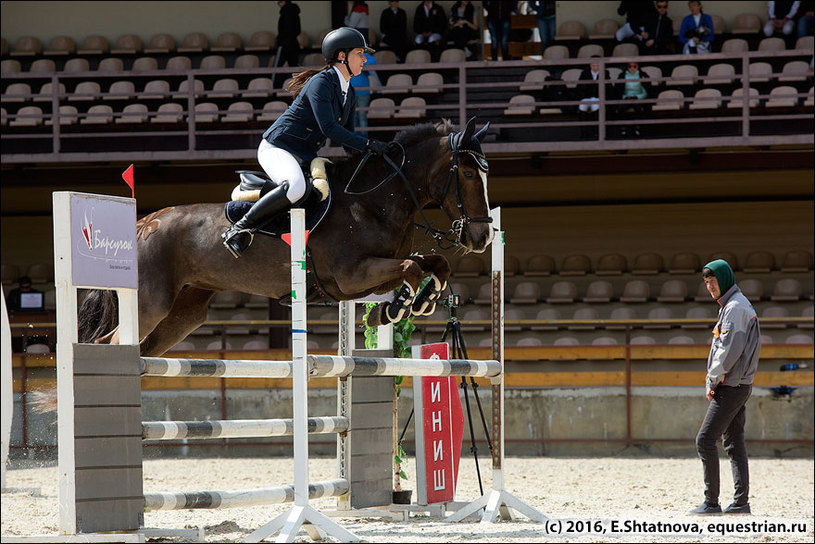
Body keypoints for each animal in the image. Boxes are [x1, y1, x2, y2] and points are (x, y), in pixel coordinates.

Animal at [79, 119, 494, 356]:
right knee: (109, 343)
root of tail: (141, 224)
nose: (482, 236)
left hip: (186, 312)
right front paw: (401, 306)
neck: (374, 201)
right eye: (468, 173)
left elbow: (434, 264)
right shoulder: (350, 277)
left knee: (145, 348)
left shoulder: (365, 278)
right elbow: (411, 267)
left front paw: (413, 303)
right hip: (151, 303)